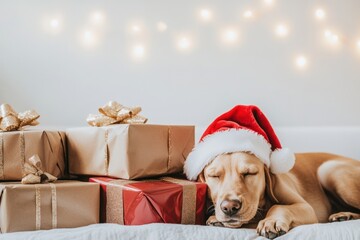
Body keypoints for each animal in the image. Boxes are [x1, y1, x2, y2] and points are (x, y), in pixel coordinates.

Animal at [200, 152, 360, 238]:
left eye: (249, 173)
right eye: (214, 176)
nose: (229, 207)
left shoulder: (306, 208)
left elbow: (279, 206)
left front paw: (271, 221)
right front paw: (216, 218)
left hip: (328, 171)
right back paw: (344, 215)